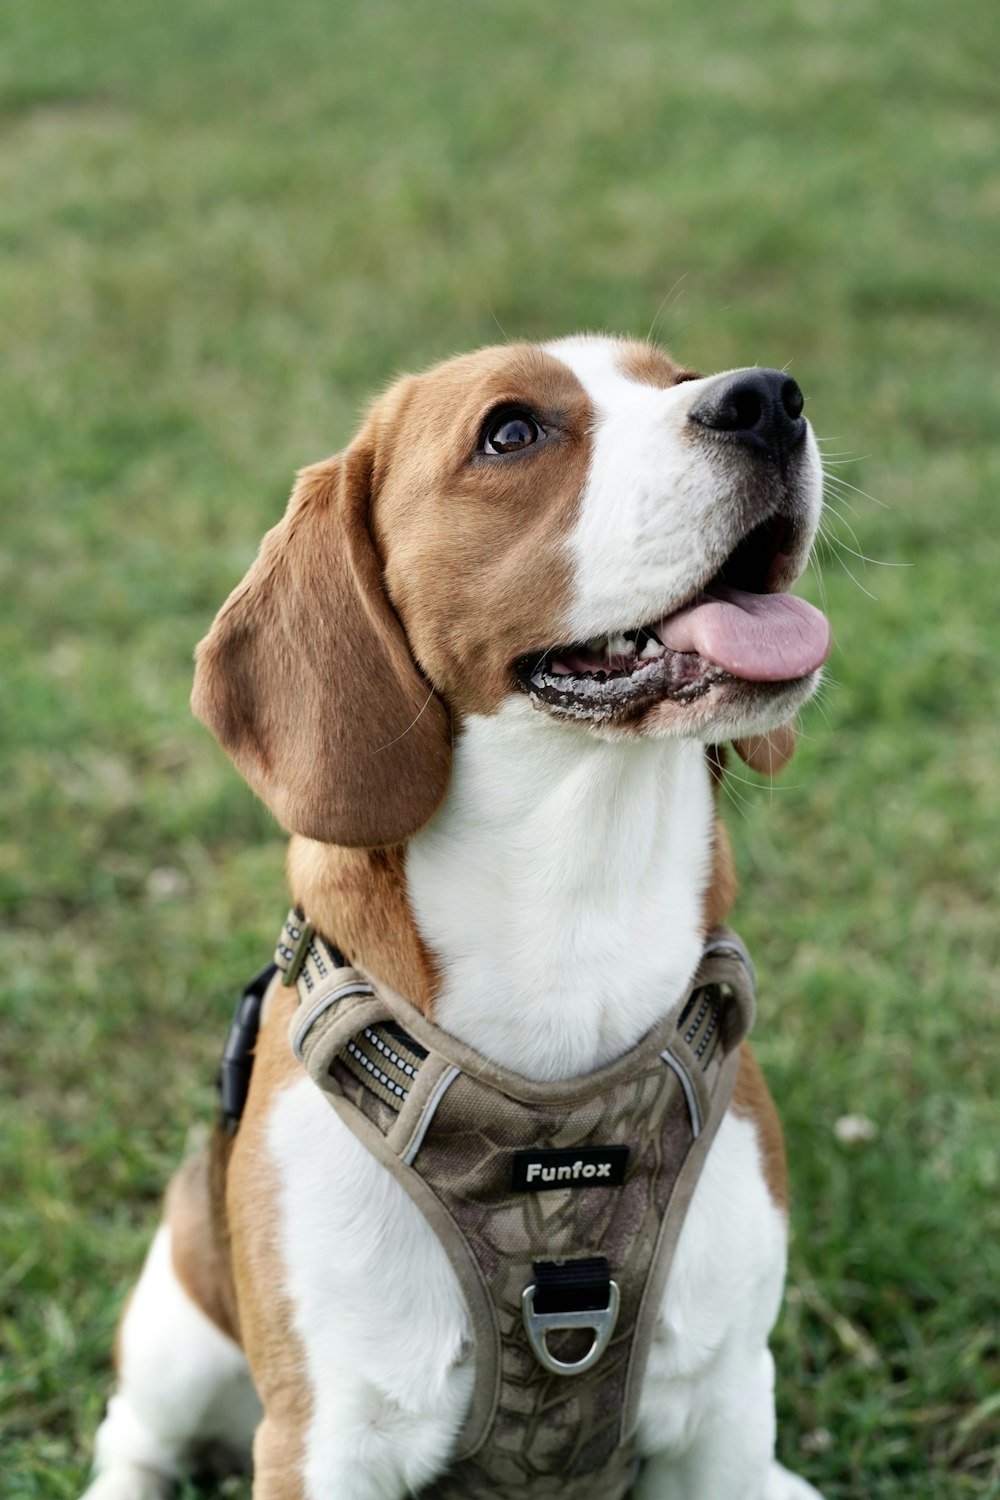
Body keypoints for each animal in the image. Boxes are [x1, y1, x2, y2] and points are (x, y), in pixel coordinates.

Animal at [86, 334, 833, 1494]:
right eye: (511, 431)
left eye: (676, 377)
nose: (769, 400)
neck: (575, 903)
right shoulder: (322, 1442)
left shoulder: (723, 1399)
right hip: (179, 1330)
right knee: (132, 1435)